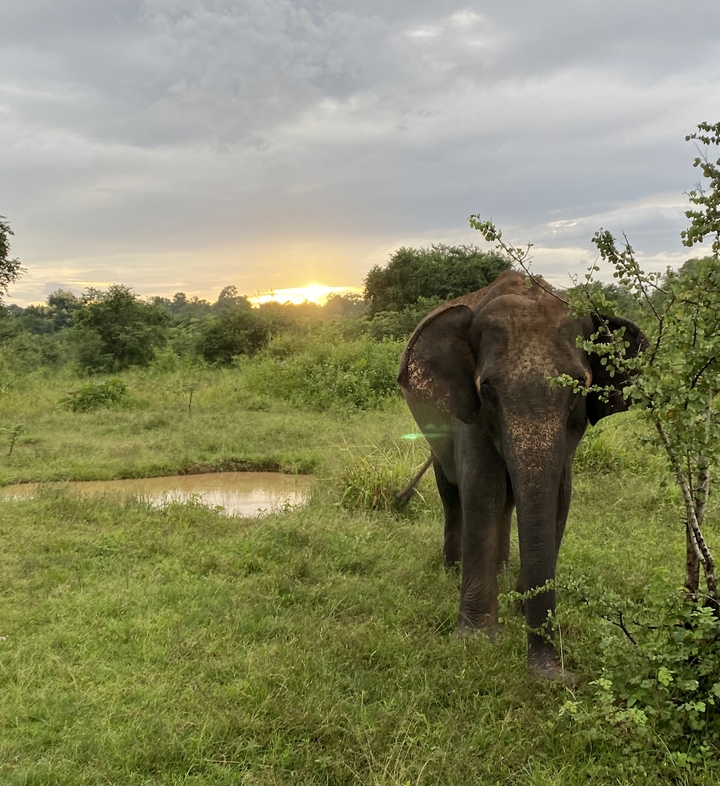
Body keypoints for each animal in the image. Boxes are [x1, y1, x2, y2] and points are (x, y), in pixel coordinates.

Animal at [398, 270, 644, 680]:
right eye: (488, 391)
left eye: (579, 389)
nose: (558, 673)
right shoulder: (470, 412)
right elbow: (481, 488)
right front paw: (476, 641)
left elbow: (559, 496)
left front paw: (519, 606)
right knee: (450, 488)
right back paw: (452, 570)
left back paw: (501, 571)